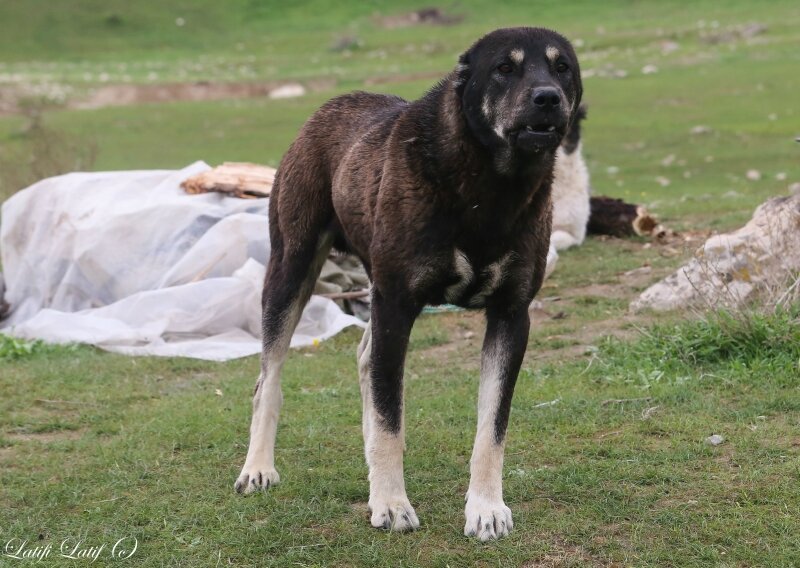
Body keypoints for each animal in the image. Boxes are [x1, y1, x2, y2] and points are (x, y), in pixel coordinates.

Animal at [234, 26, 584, 540]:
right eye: (505, 68)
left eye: (563, 69)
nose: (548, 98)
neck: (488, 187)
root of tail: (328, 107)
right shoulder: (397, 305)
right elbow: (389, 418)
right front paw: (391, 503)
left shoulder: (511, 315)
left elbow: (491, 428)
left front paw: (486, 508)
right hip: (291, 270)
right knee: (269, 379)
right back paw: (258, 467)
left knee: (364, 358)